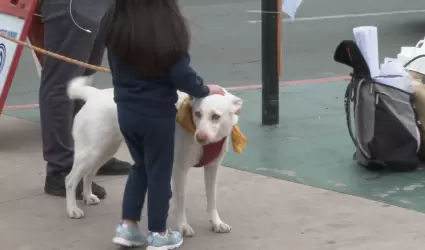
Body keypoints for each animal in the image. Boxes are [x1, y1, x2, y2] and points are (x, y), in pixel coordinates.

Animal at [66, 76, 245, 236]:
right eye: (198, 114)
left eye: (216, 116)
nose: (200, 137)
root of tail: (94, 94)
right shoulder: (179, 170)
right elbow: (181, 200)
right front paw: (183, 226)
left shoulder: (212, 168)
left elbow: (212, 199)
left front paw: (216, 223)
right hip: (90, 152)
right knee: (70, 180)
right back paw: (72, 209)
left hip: (105, 150)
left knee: (89, 173)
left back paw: (88, 196)